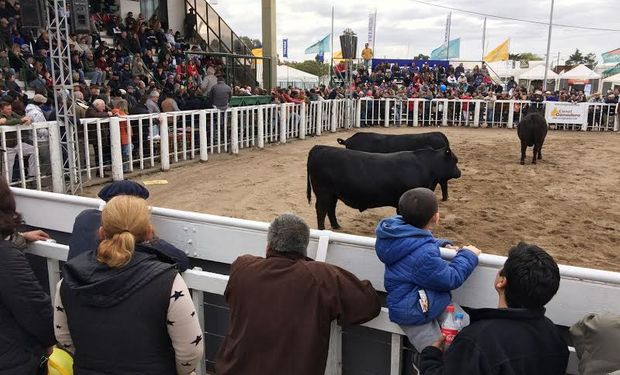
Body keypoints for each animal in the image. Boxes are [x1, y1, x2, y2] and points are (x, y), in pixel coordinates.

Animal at [306, 145, 460, 231]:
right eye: (454, 160)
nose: (459, 172)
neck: (426, 166)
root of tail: (320, 147)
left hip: (333, 194)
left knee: (330, 209)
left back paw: (336, 226)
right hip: (323, 192)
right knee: (321, 209)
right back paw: (321, 229)